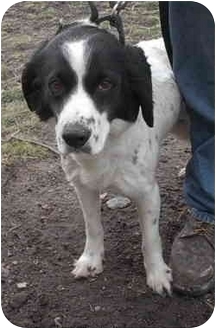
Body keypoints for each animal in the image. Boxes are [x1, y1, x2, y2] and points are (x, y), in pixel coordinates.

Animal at [21, 15, 184, 294]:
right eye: (55, 85)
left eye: (105, 84)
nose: (74, 137)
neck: (106, 147)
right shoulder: (83, 187)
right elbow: (93, 226)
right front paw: (91, 259)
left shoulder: (148, 193)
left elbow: (150, 238)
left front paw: (157, 274)